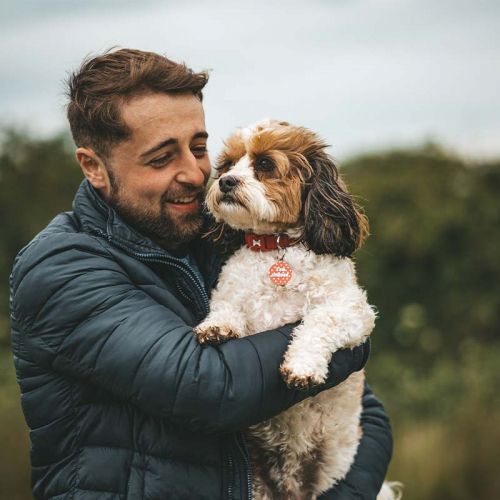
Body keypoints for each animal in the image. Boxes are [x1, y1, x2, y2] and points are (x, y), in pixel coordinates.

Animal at [193, 121, 400, 500]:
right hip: (259, 483)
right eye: (227, 165)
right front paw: (216, 326)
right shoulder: (233, 294)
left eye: (264, 165)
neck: (276, 248)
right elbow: (226, 308)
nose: (226, 182)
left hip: (333, 467)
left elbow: (318, 321)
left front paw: (302, 365)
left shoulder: (354, 311)